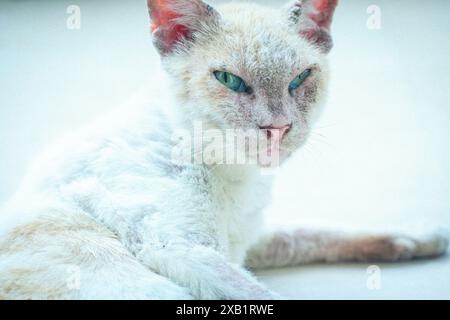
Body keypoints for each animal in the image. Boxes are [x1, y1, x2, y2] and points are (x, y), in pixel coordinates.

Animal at [0, 0, 448, 300]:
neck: (236, 177)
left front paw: (420, 238)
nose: (277, 127)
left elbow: (314, 232)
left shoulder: (245, 242)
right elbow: (262, 293)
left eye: (300, 78)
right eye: (230, 80)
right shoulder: (185, 248)